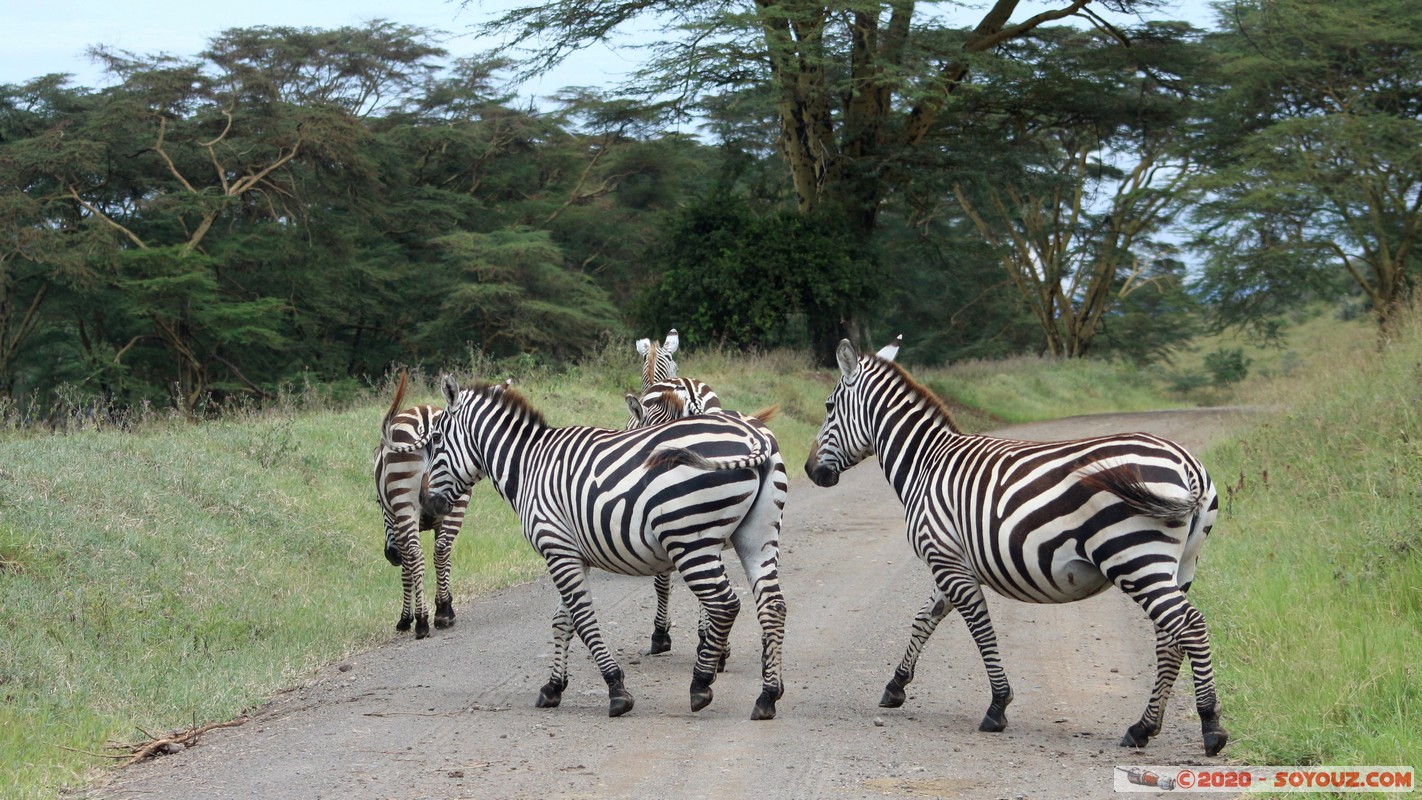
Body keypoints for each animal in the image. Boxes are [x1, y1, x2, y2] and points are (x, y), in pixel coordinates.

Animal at [373, 372, 479, 638]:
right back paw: (442, 615)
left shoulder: (396, 521)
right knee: (441, 550)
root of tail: (425, 417)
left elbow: (407, 568)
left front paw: (405, 619)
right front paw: (446, 604)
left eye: (378, 502)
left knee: (415, 555)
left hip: (405, 502)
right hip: (456, 496)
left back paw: (421, 621)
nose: (390, 555)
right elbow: (446, 559)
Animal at [417, 375, 788, 720]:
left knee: (724, 605)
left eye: (435, 440)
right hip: (757, 537)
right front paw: (553, 687)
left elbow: (582, 618)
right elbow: (562, 620)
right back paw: (768, 696)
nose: (426, 506)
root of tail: (755, 436)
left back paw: (701, 684)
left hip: (689, 538)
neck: (528, 466)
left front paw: (616, 689)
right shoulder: (572, 553)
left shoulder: (557, 548)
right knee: (773, 606)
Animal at [804, 337, 1228, 756]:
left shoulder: (945, 559)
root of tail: (1187, 464)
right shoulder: (950, 559)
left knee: (1190, 627)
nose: (810, 471)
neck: (925, 464)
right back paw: (1143, 727)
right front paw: (896, 685)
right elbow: (924, 619)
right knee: (1170, 639)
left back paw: (1210, 727)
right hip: (1180, 564)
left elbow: (980, 629)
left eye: (827, 407)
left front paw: (997, 706)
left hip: (1135, 558)